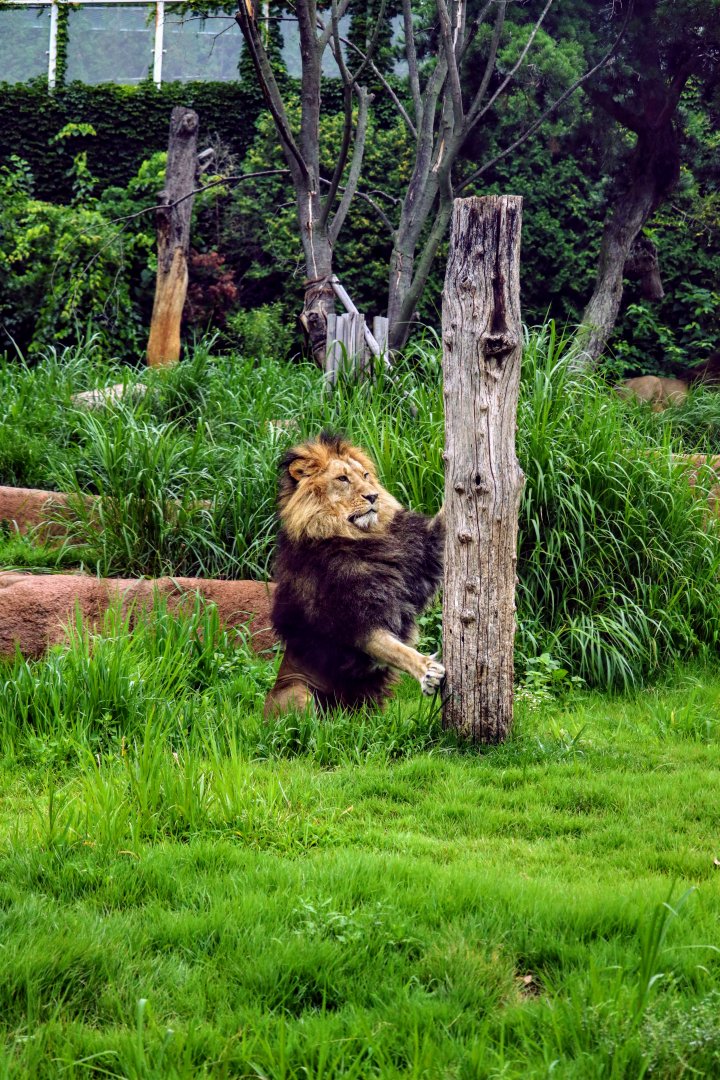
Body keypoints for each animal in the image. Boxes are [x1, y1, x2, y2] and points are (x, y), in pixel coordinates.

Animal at [264, 432, 445, 717]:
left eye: (366, 475)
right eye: (342, 479)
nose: (373, 496)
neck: (361, 536)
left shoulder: (421, 562)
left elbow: (442, 522)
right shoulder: (353, 617)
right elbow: (396, 650)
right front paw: (427, 671)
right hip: (296, 690)